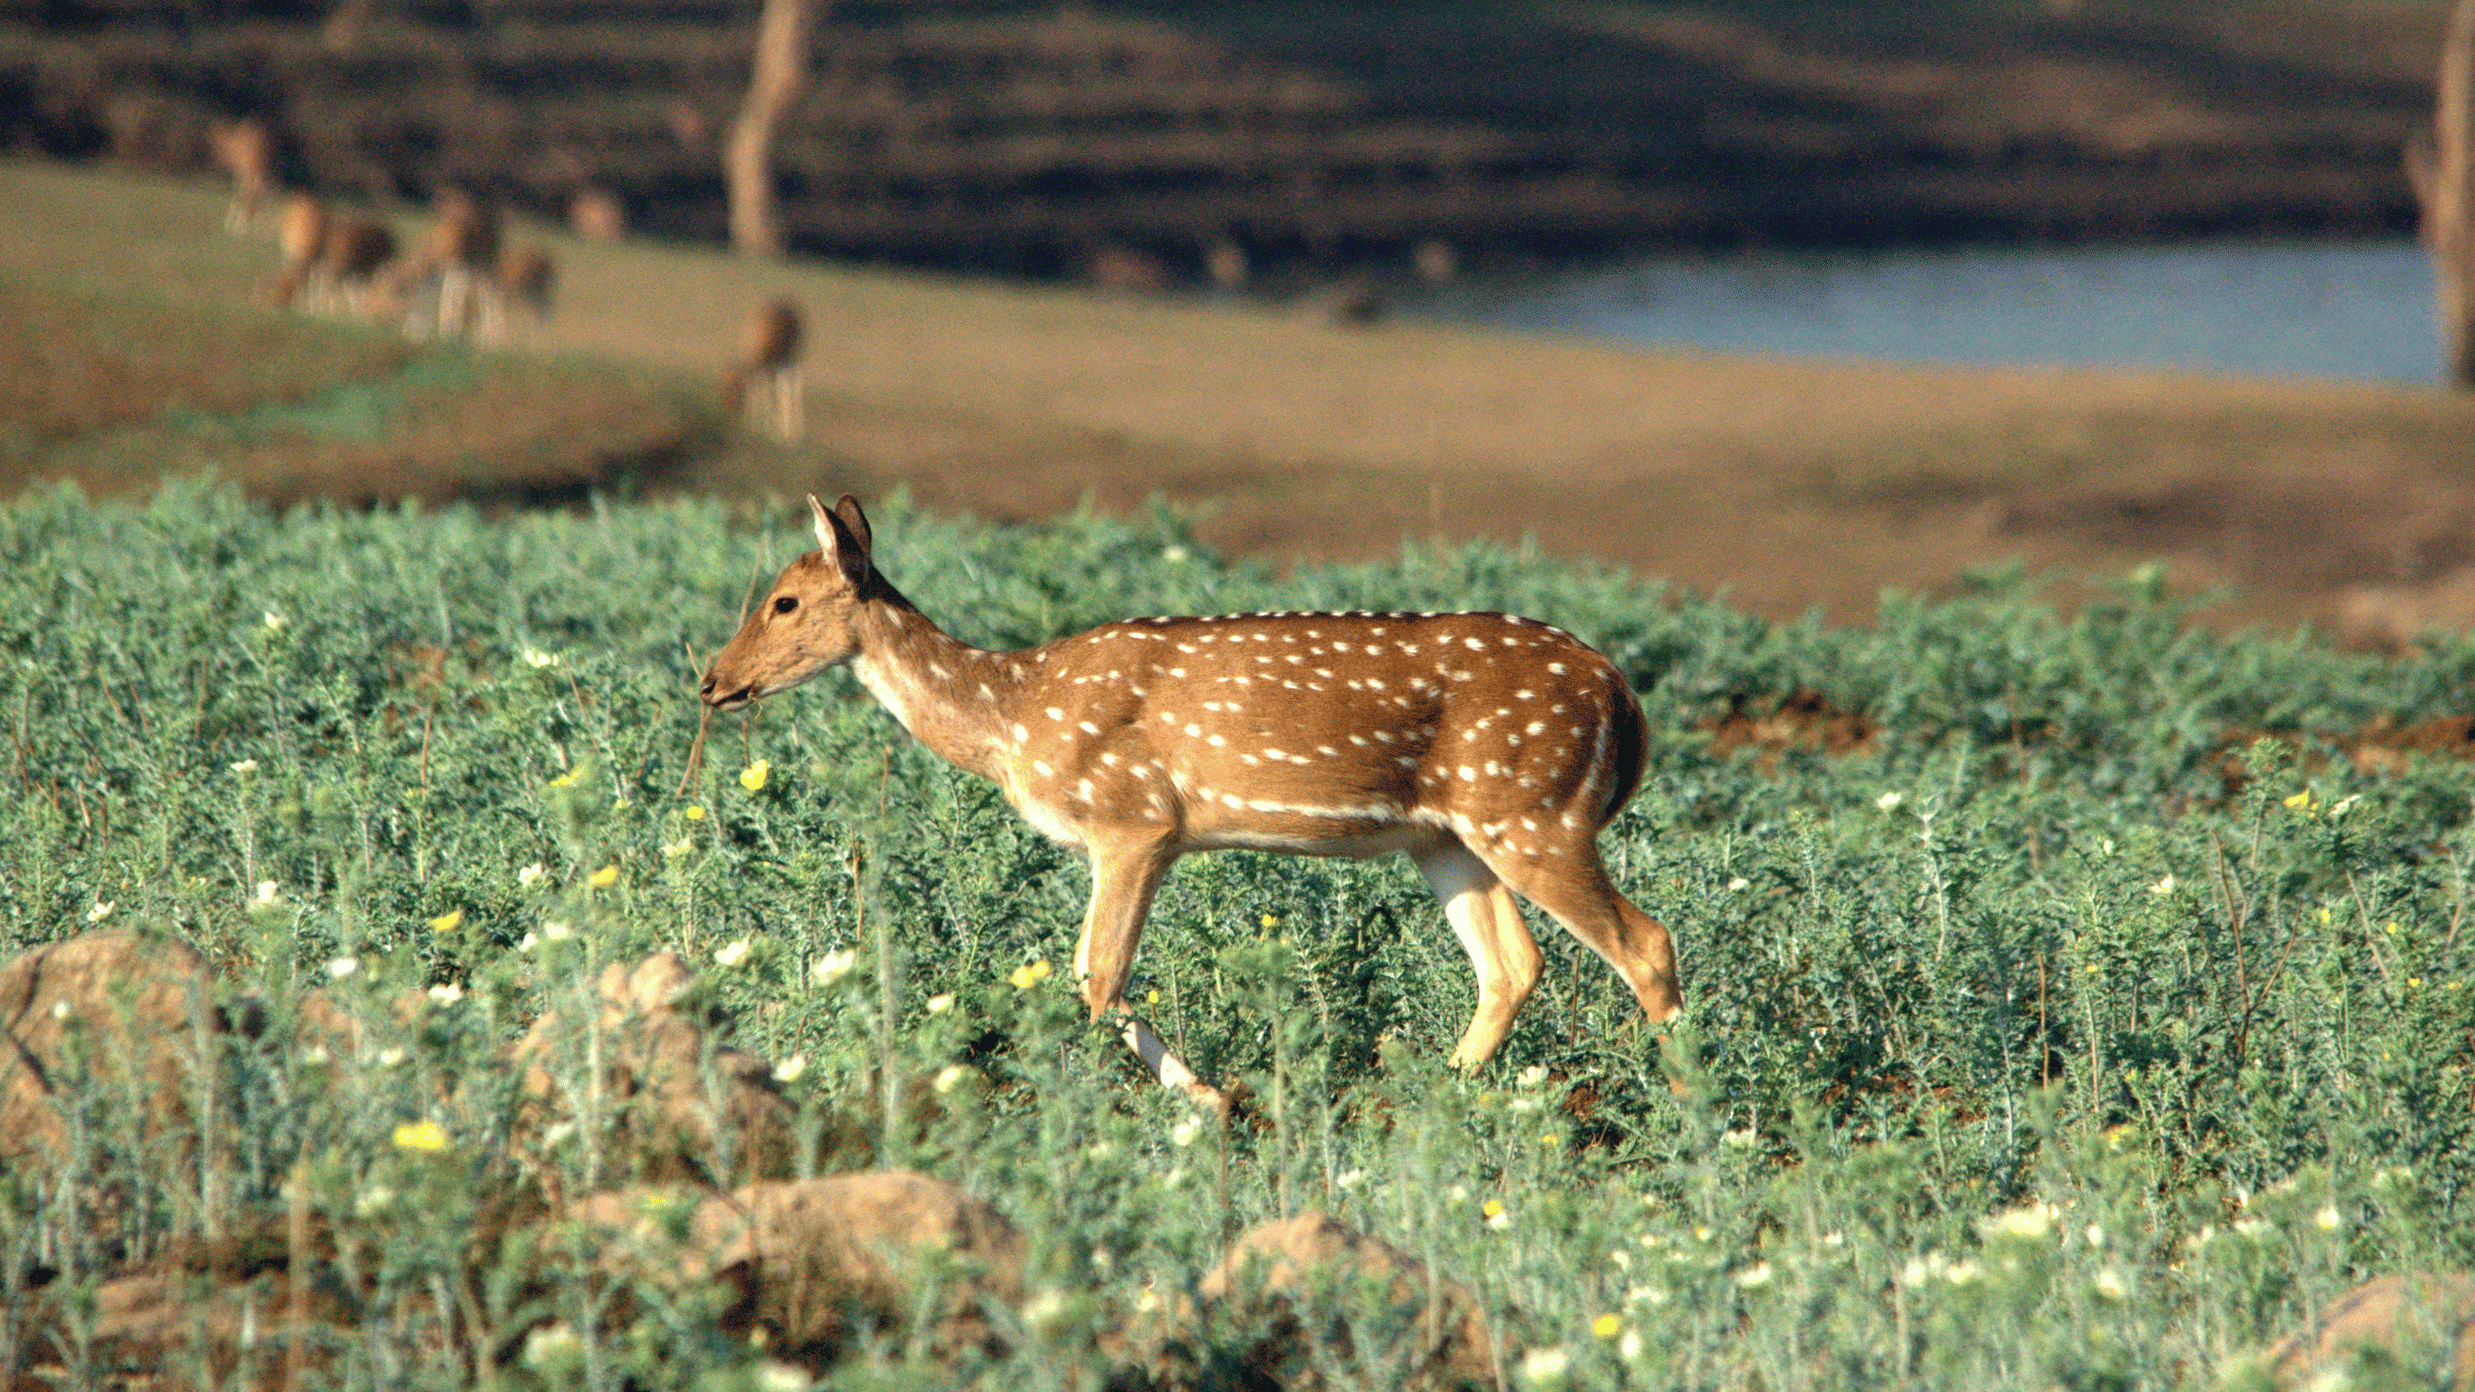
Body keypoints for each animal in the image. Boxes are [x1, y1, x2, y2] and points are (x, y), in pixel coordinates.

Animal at [698, 495, 1684, 1109]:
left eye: (783, 601)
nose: (710, 680)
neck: (1011, 713)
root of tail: (1619, 692)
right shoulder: (1144, 839)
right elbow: (1102, 974)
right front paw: (1210, 1098)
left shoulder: (1132, 820)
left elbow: (1096, 975)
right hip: (1447, 836)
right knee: (1512, 965)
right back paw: (1430, 1097)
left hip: (1533, 808)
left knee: (1643, 941)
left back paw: (1690, 1104)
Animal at [721, 297, 803, 441]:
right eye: (723, 388)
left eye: (734, 389)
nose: (728, 415)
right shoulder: (767, 366)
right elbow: (761, 390)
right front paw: (756, 423)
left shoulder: (772, 364)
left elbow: (767, 391)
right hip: (779, 363)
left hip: (792, 358)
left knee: (793, 387)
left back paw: (792, 430)